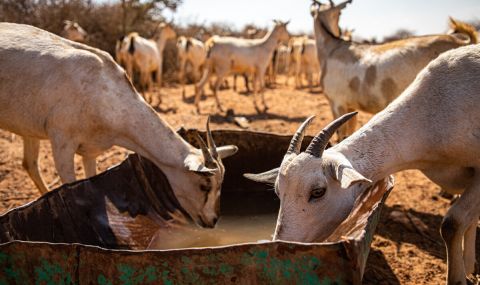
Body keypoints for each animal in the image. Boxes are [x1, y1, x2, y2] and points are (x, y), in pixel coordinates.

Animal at [0, 23, 238, 229]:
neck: (102, 88)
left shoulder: (91, 151)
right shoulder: (62, 143)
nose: (213, 220)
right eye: (205, 185)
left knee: (29, 163)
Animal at [246, 43, 480, 282]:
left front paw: (459, 277)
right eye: (278, 191)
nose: (281, 244)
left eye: (318, 192)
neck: (431, 112)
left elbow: (453, 223)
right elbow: (470, 219)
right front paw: (470, 266)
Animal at [312, 0, 476, 140]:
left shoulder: (337, 103)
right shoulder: (350, 106)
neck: (332, 48)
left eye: (340, 13)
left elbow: (341, 136)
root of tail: (462, 41)